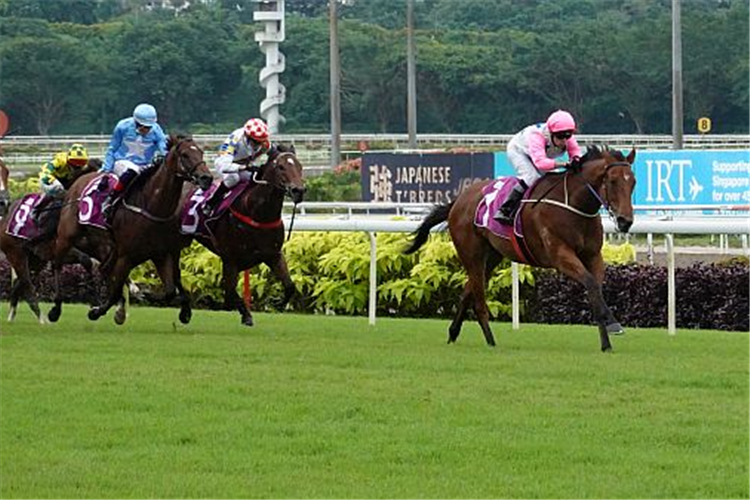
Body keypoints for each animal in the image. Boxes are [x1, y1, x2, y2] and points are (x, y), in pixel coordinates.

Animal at [48, 137, 214, 324]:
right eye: (185, 155)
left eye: (201, 152)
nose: (207, 178)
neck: (151, 207)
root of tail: (80, 178)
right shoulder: (126, 256)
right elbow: (115, 290)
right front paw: (97, 311)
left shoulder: (161, 253)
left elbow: (170, 290)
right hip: (67, 236)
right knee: (57, 264)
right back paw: (56, 308)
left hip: (103, 244)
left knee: (103, 268)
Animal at [187, 143, 306, 326]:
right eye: (281, 167)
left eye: (300, 166)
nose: (298, 190)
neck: (257, 213)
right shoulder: (230, 259)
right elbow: (229, 291)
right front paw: (244, 314)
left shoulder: (273, 254)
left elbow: (290, 286)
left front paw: (276, 303)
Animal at [408, 145, 636, 352]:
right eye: (612, 181)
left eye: (633, 182)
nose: (625, 222)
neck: (574, 205)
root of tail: (458, 200)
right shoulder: (560, 256)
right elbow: (590, 282)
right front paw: (612, 325)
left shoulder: (593, 256)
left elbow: (596, 288)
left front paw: (608, 337)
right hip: (471, 254)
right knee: (478, 300)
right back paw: (490, 341)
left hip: (492, 256)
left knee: (467, 292)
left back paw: (453, 333)